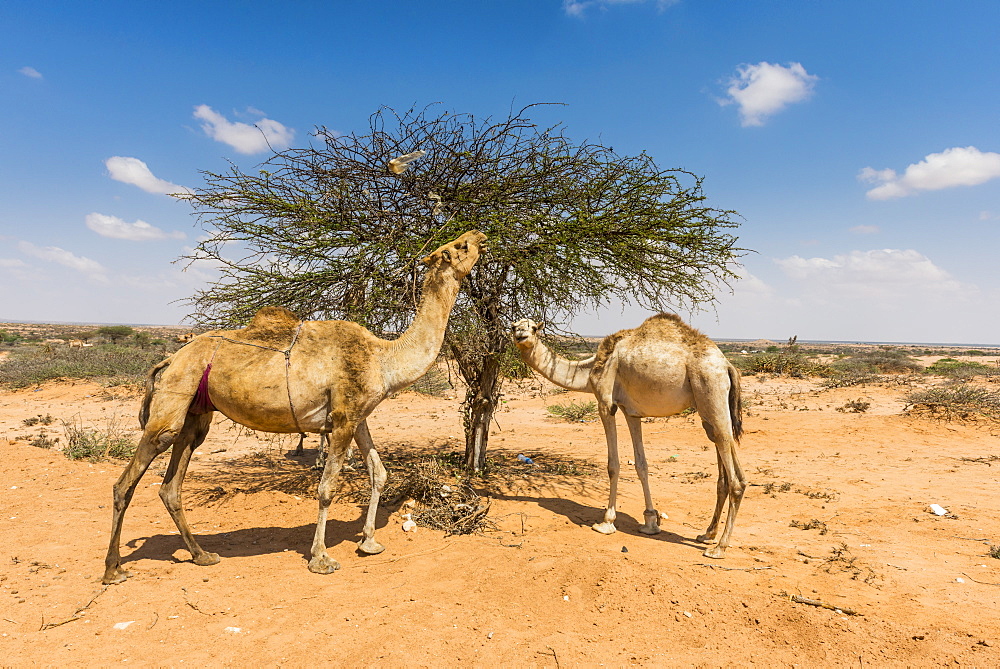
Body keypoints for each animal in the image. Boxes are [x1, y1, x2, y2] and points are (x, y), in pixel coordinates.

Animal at [102, 227, 488, 580]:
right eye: (459, 247)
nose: (480, 235)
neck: (383, 358)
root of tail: (169, 360)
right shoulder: (344, 418)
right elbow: (327, 488)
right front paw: (321, 558)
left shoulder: (358, 416)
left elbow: (378, 472)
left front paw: (369, 542)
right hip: (173, 402)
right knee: (129, 479)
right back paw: (113, 569)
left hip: (197, 414)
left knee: (172, 484)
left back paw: (202, 555)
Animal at [512, 314, 748, 560]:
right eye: (513, 326)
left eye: (533, 328)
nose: (521, 336)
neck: (590, 369)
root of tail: (728, 366)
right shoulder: (631, 412)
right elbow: (641, 465)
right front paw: (651, 522)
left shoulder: (606, 403)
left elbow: (613, 465)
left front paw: (606, 523)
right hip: (709, 410)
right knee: (722, 458)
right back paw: (707, 534)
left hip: (711, 389)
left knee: (735, 477)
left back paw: (719, 547)